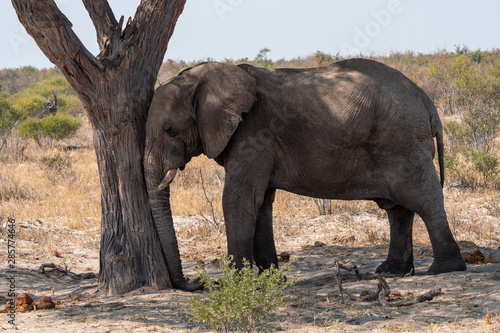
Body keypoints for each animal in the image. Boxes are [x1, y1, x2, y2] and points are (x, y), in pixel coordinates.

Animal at [143, 58, 466, 290]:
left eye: (170, 130)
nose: (196, 283)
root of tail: (427, 102)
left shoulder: (254, 135)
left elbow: (239, 199)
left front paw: (234, 284)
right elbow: (261, 203)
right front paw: (272, 280)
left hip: (403, 141)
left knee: (423, 199)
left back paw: (445, 269)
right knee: (398, 209)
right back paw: (394, 271)